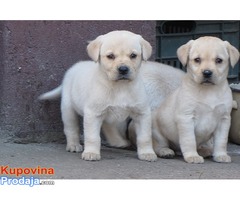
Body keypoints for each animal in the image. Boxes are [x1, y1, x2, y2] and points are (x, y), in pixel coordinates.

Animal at [39, 30, 158, 162]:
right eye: (110, 56)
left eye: (133, 55)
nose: (123, 69)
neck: (120, 87)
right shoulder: (92, 113)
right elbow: (93, 136)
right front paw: (91, 152)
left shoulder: (142, 113)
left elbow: (145, 137)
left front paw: (147, 153)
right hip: (68, 110)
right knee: (71, 129)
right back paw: (73, 145)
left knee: (107, 124)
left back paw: (117, 140)